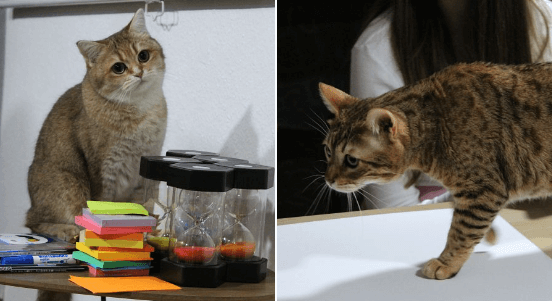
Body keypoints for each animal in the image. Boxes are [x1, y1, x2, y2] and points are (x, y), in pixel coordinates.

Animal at [27, 8, 166, 258]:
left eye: (143, 56)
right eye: (119, 68)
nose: (139, 72)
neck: (140, 111)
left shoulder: (147, 170)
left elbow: (144, 207)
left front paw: (147, 234)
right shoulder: (103, 170)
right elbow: (103, 207)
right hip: (68, 182)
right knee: (33, 222)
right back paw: (68, 230)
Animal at [316, 61, 552, 278]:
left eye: (351, 160)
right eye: (327, 151)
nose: (328, 180)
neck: (437, 122)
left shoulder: (483, 190)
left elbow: (461, 230)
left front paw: (446, 262)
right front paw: (489, 233)